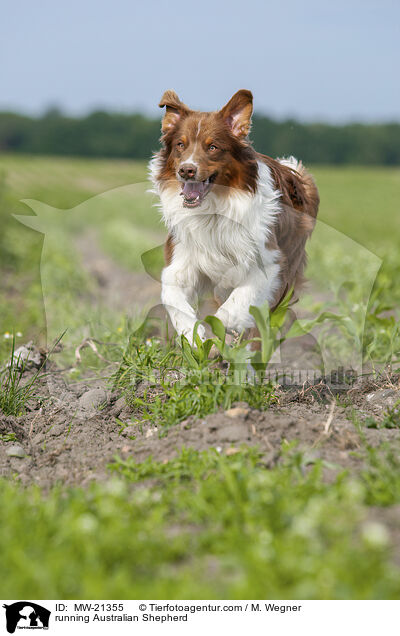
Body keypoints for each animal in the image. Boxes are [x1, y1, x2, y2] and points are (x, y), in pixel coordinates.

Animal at [148, 89, 320, 342]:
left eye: (213, 147)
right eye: (180, 144)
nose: (186, 170)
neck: (213, 210)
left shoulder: (271, 261)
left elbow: (237, 302)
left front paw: (226, 324)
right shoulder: (183, 258)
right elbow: (171, 295)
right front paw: (193, 335)